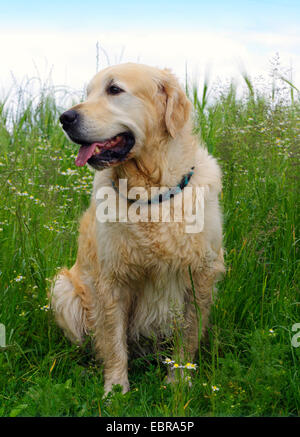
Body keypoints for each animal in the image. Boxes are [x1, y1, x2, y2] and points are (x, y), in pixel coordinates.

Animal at [49, 63, 224, 394]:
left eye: (114, 89)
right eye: (87, 92)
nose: (65, 118)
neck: (150, 193)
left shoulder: (200, 274)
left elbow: (188, 335)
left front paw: (179, 381)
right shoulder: (111, 279)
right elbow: (114, 341)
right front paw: (115, 389)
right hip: (62, 287)